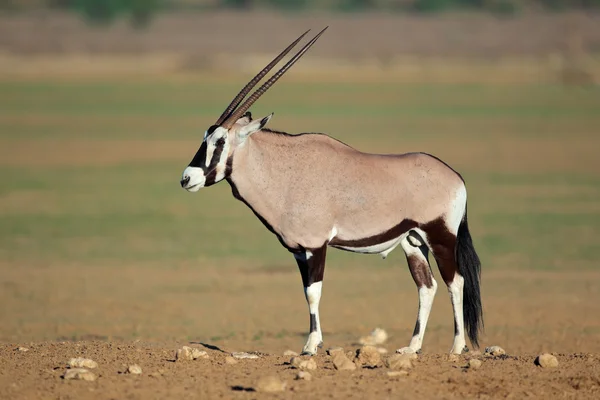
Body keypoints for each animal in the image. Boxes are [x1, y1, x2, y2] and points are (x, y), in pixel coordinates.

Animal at [179, 26, 482, 354]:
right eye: (205, 137)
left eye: (220, 141)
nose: (187, 178)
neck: (285, 171)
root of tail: (456, 178)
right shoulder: (299, 251)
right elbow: (306, 291)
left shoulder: (315, 246)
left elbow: (314, 292)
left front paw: (311, 345)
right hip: (413, 241)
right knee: (426, 286)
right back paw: (412, 347)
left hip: (440, 237)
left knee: (455, 282)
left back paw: (456, 347)